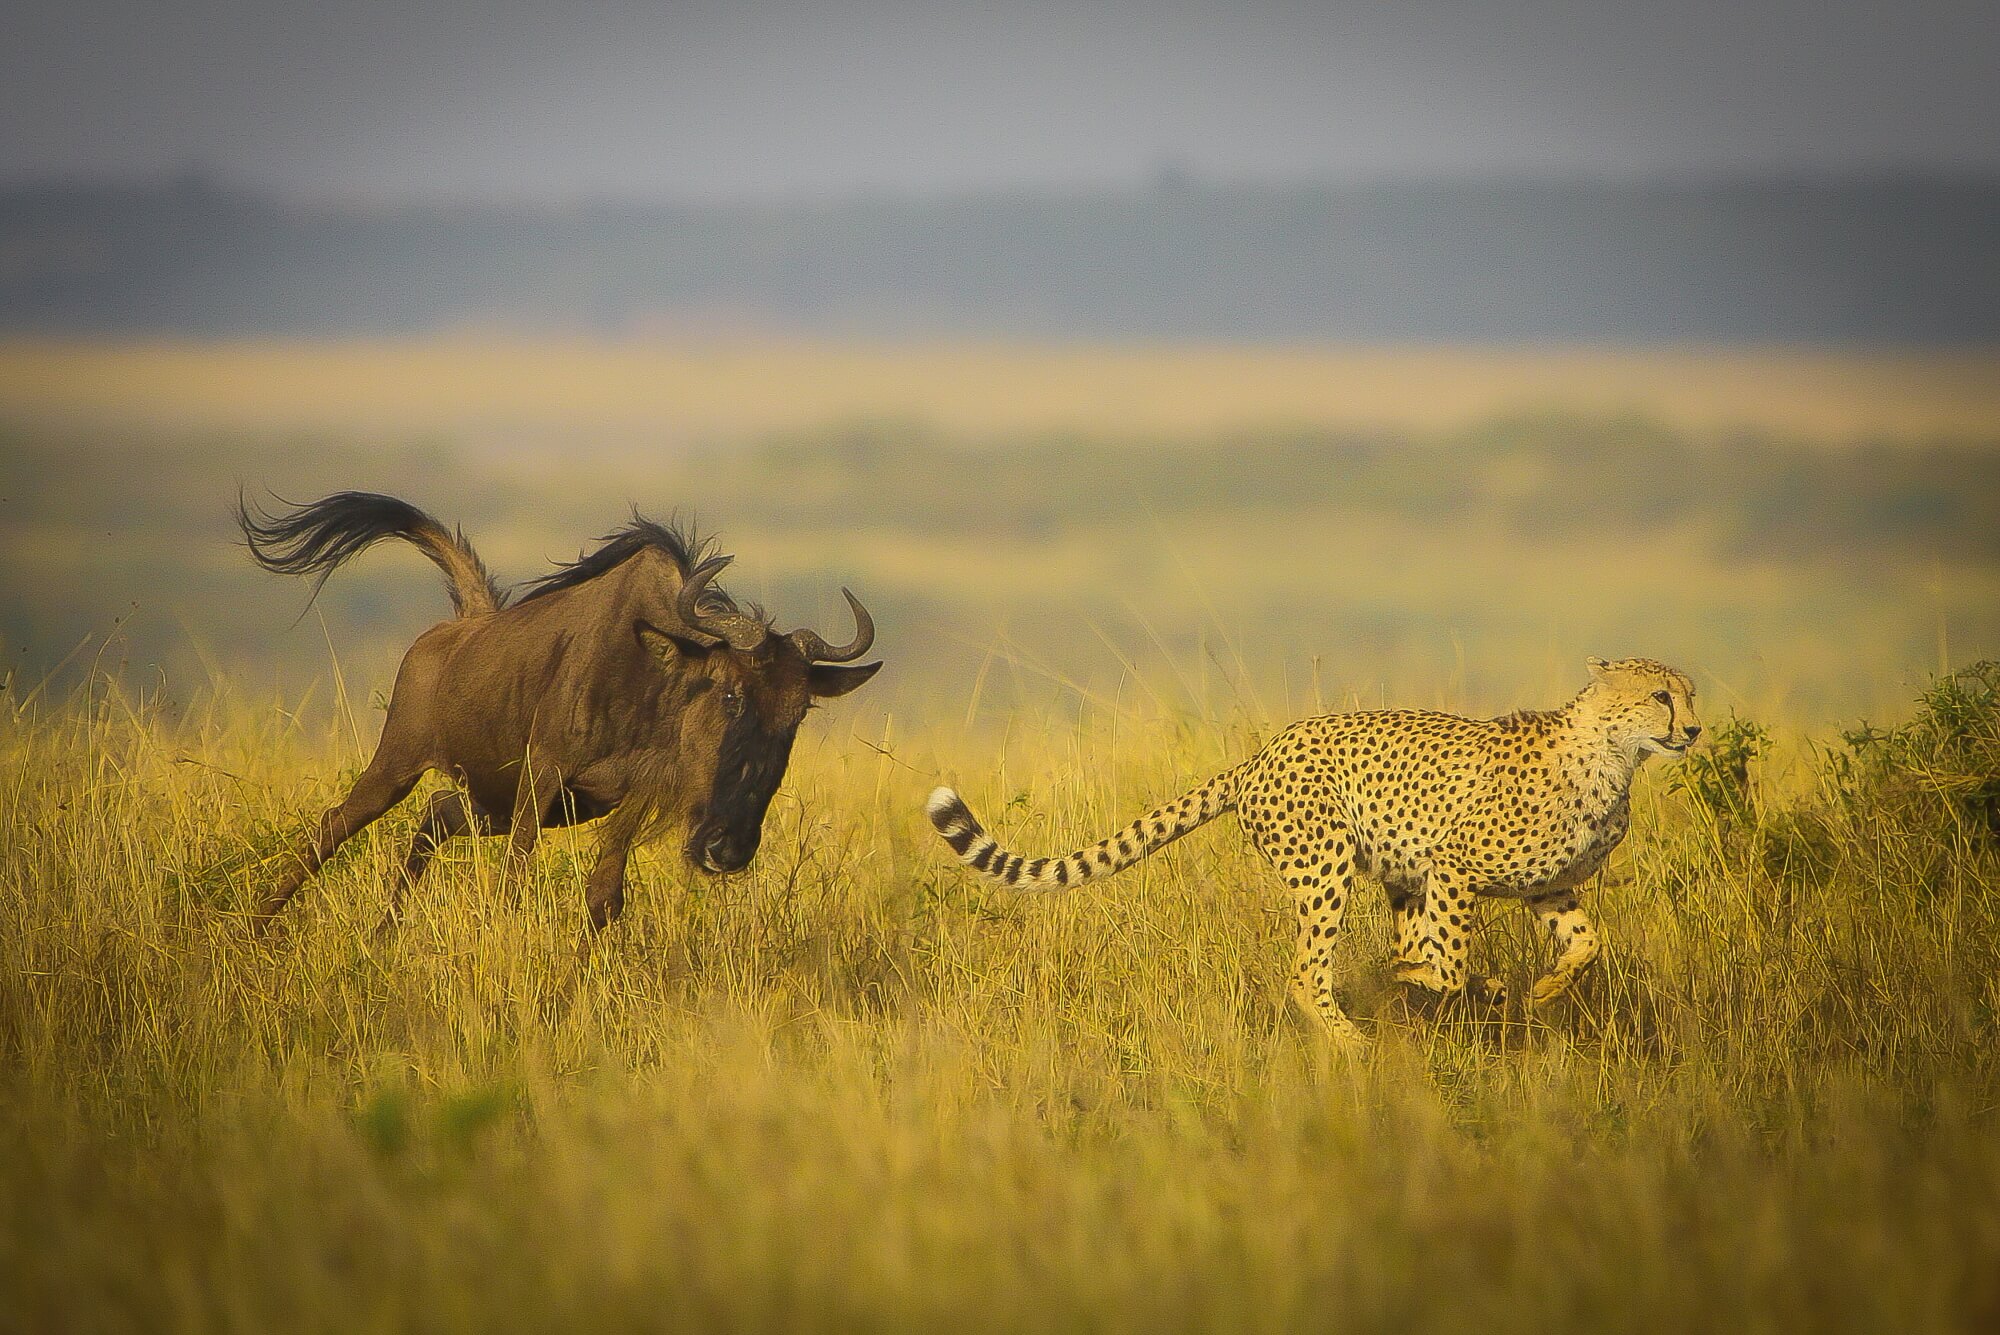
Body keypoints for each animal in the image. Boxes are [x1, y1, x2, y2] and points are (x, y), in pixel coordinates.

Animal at [926, 657, 1700, 1048]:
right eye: (1661, 696)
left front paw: (1542, 987)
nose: (1692, 729)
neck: (1612, 754)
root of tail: (1265, 751)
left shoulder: (1546, 885)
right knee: (1307, 972)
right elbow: (1450, 962)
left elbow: (1587, 943)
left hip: (1390, 872)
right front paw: (1462, 983)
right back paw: (1355, 1037)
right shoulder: (1454, 866)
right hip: (1328, 866)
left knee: (1390, 943)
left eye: (1689, 694)